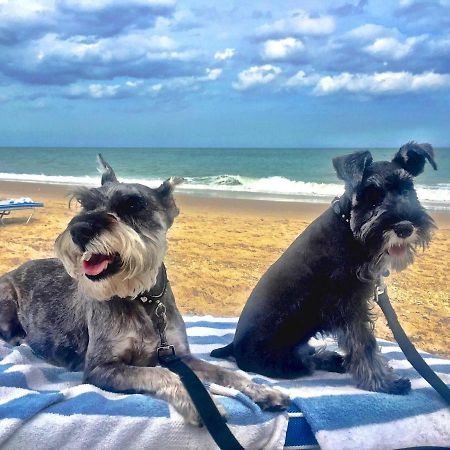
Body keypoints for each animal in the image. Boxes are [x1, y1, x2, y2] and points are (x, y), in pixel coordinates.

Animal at [0, 156, 288, 426]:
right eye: (85, 204)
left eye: (133, 205)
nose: (79, 230)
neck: (143, 299)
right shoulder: (102, 367)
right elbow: (162, 373)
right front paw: (203, 405)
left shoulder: (180, 355)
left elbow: (225, 373)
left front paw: (263, 391)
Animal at [213, 142, 438, 396]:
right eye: (370, 196)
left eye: (407, 189)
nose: (404, 227)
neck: (348, 226)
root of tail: (232, 347)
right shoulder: (348, 305)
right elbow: (365, 345)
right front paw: (385, 383)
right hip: (288, 363)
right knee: (307, 361)